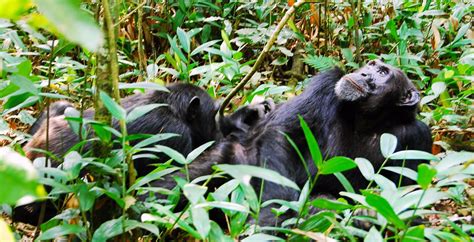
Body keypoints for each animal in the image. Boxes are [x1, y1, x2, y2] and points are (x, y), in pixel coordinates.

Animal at [156, 59, 434, 226]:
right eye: (372, 64)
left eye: (383, 73)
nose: (364, 72)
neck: (368, 119)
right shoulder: (326, 84)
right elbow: (282, 135)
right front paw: (270, 218)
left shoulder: (418, 136)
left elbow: (411, 199)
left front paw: (368, 212)